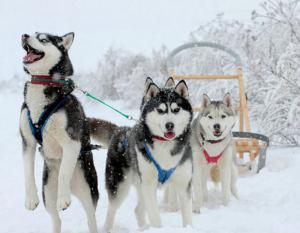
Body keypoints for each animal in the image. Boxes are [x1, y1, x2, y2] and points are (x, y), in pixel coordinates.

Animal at [19, 32, 99, 233]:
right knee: (56, 219)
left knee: (91, 217)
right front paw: (30, 199)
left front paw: (63, 199)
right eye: (32, 33)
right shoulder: (27, 142)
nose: (24, 35)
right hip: (47, 193)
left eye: (43, 39)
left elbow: (64, 172)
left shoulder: (71, 141)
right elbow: (27, 171)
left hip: (88, 190)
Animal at [102, 78, 192, 231]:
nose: (170, 125)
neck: (165, 145)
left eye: (176, 110)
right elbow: (155, 216)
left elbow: (187, 217)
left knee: (138, 210)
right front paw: (158, 228)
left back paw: (143, 227)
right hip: (120, 184)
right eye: (160, 110)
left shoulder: (183, 182)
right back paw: (107, 228)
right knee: (112, 209)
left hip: (140, 184)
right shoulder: (149, 185)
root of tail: (120, 130)